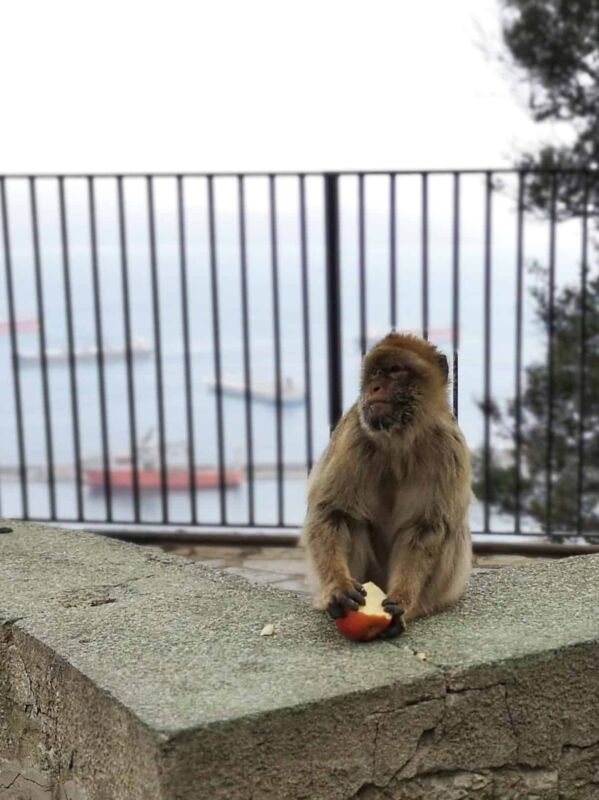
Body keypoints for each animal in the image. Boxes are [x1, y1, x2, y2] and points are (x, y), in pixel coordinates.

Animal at [302, 332, 472, 638]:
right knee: (351, 521)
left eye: (395, 371)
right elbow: (331, 512)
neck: (399, 440)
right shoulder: (353, 436)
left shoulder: (447, 448)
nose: (375, 387)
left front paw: (403, 602)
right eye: (374, 373)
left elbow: (426, 527)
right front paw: (338, 588)